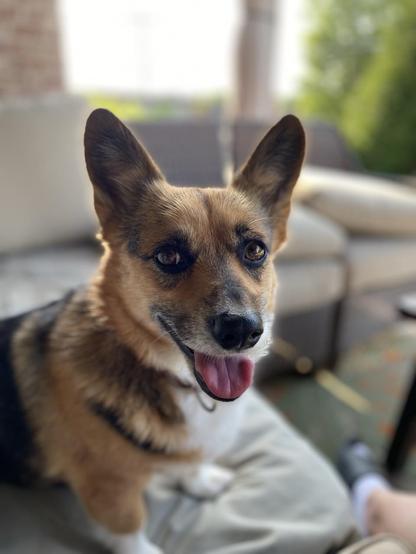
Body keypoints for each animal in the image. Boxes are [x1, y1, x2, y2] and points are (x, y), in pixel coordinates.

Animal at [0, 110, 306, 548]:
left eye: (254, 250)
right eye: (169, 256)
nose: (243, 332)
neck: (176, 381)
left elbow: (188, 466)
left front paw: (199, 480)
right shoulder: (110, 489)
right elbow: (130, 532)